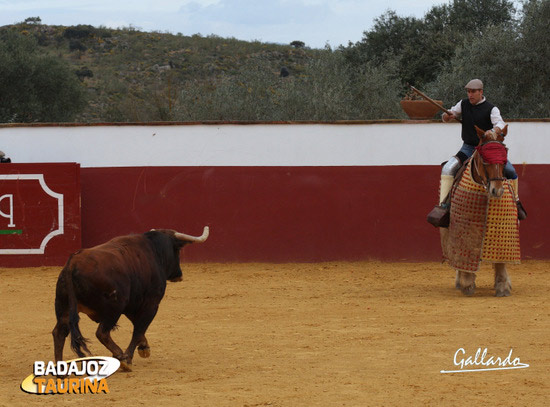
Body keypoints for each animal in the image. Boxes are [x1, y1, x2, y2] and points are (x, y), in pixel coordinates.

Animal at [52, 228, 210, 372]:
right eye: (177, 251)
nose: (179, 274)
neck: (154, 250)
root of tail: (72, 264)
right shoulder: (151, 303)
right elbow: (139, 328)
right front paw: (129, 357)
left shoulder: (131, 305)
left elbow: (138, 327)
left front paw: (144, 347)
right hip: (114, 307)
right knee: (102, 333)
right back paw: (121, 357)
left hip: (64, 308)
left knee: (59, 333)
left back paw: (60, 371)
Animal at [444, 124, 520, 296]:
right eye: (485, 160)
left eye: (504, 159)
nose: (497, 191)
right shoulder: (464, 226)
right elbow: (464, 252)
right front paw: (467, 282)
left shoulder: (503, 226)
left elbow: (500, 258)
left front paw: (503, 286)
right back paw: (459, 281)